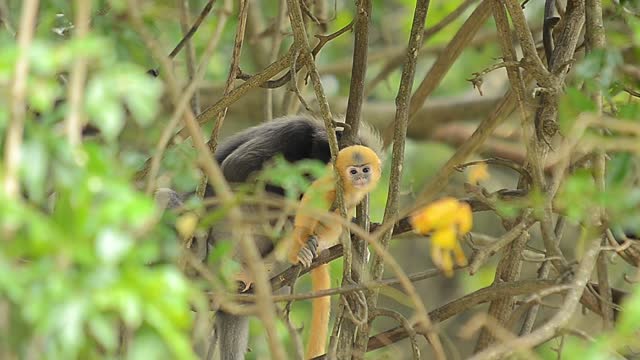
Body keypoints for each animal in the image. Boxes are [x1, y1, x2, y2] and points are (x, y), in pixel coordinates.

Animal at [288, 145, 382, 358]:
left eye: (365, 170)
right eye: (353, 172)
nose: (360, 177)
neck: (347, 188)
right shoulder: (331, 184)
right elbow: (316, 197)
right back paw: (304, 246)